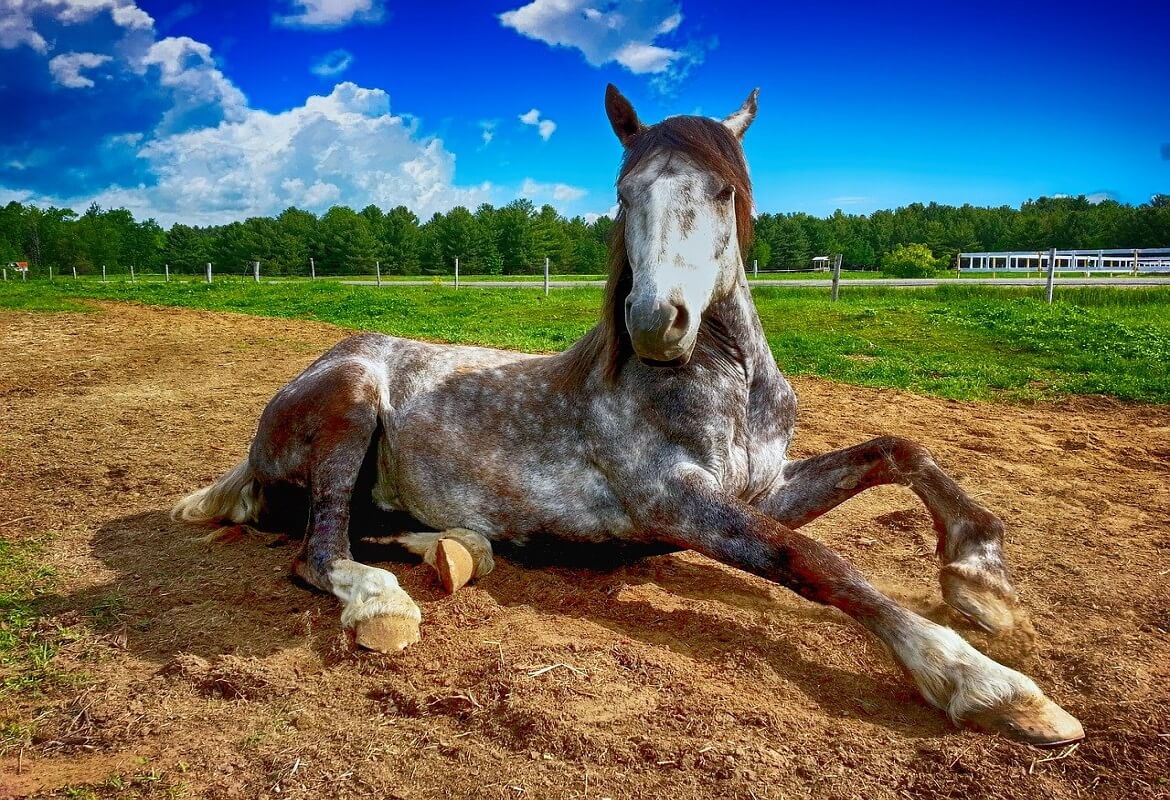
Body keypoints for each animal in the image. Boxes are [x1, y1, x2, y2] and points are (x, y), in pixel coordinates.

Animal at [175, 84, 1085, 748]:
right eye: (624, 194)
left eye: (723, 189)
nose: (656, 322)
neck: (726, 386)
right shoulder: (678, 504)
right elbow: (818, 561)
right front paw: (989, 685)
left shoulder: (761, 488)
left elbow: (900, 448)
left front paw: (985, 586)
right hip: (354, 399)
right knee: (319, 548)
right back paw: (383, 603)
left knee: (373, 528)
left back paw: (458, 551)